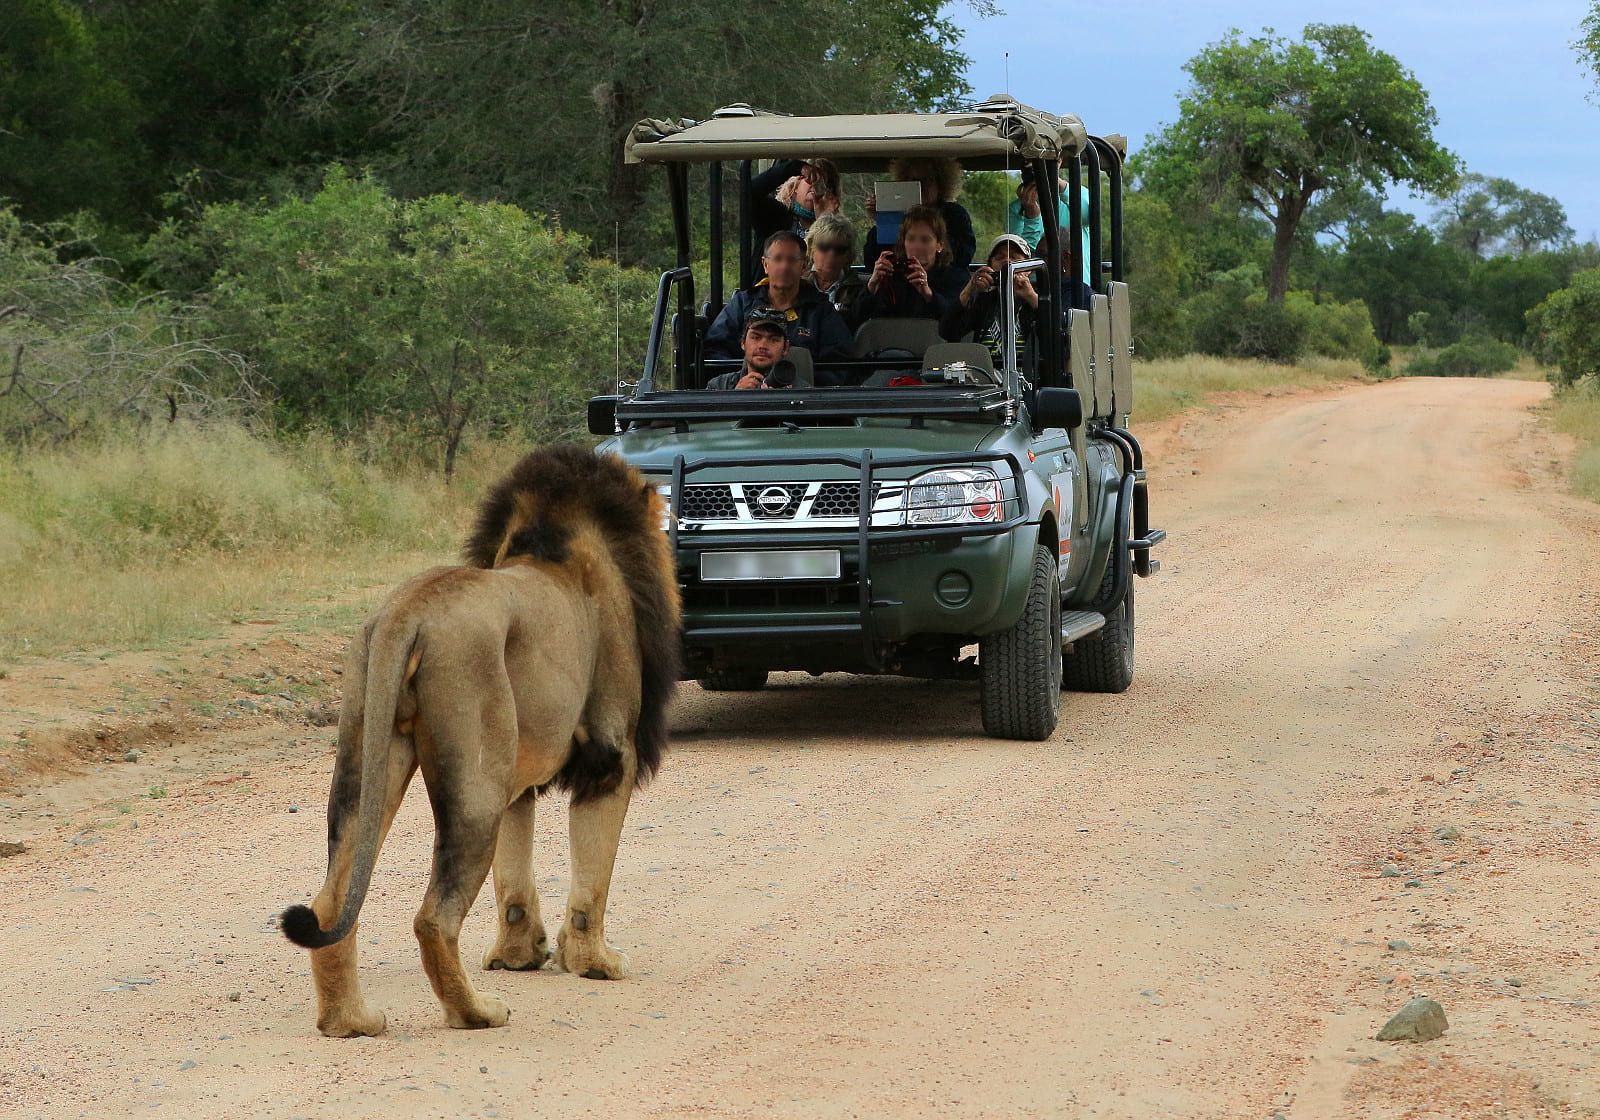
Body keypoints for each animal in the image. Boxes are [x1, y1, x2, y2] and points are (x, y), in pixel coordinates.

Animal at [281, 441, 681, 1036]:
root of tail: (406, 613)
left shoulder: (516, 779)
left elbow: (513, 878)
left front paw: (519, 955)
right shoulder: (610, 756)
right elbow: (592, 879)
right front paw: (593, 963)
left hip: (372, 756)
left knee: (332, 901)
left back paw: (349, 1021)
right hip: (475, 783)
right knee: (433, 917)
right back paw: (476, 1012)